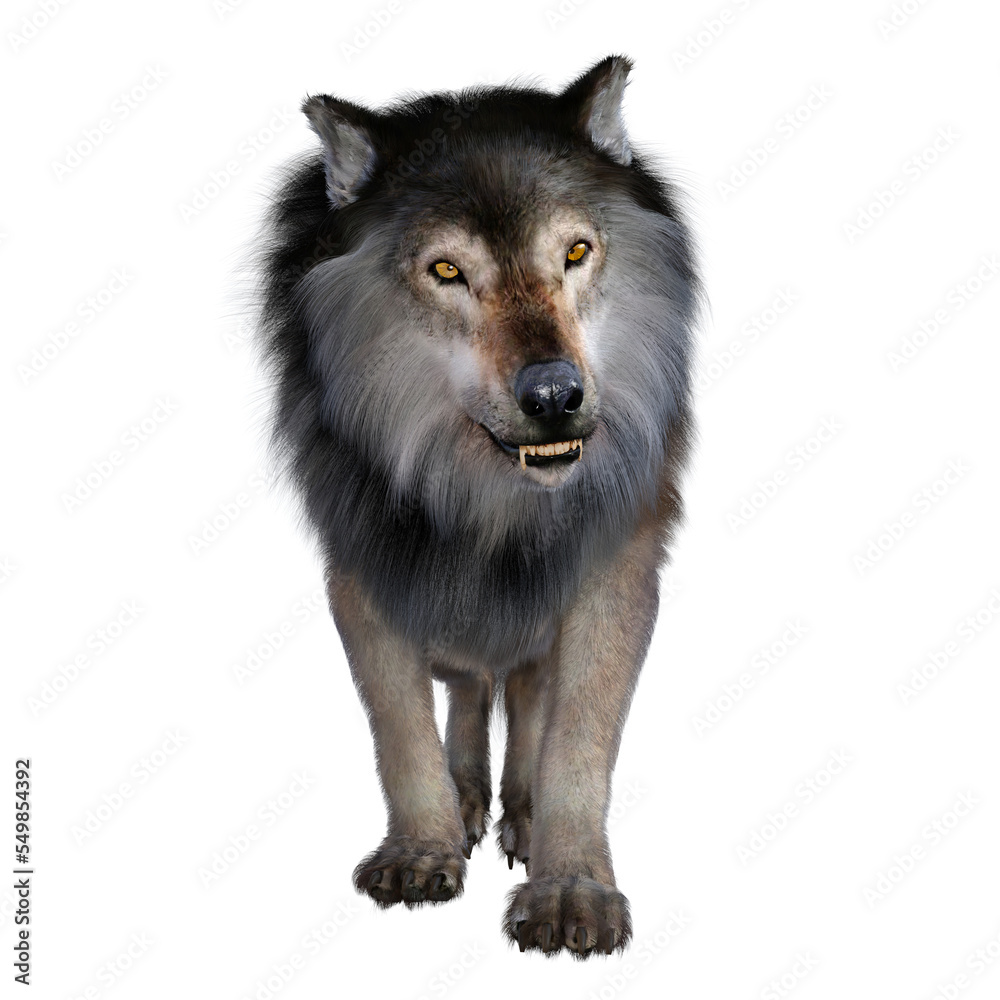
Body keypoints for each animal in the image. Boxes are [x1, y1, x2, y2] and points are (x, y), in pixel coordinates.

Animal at [254, 55, 699, 957]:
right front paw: (423, 848)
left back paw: (519, 815)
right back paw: (467, 803)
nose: (555, 395)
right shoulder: (364, 571)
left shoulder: (617, 573)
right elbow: (401, 733)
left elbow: (577, 743)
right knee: (466, 690)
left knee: (523, 699)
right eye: (448, 271)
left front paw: (571, 887)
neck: (493, 507)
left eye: (575, 252)